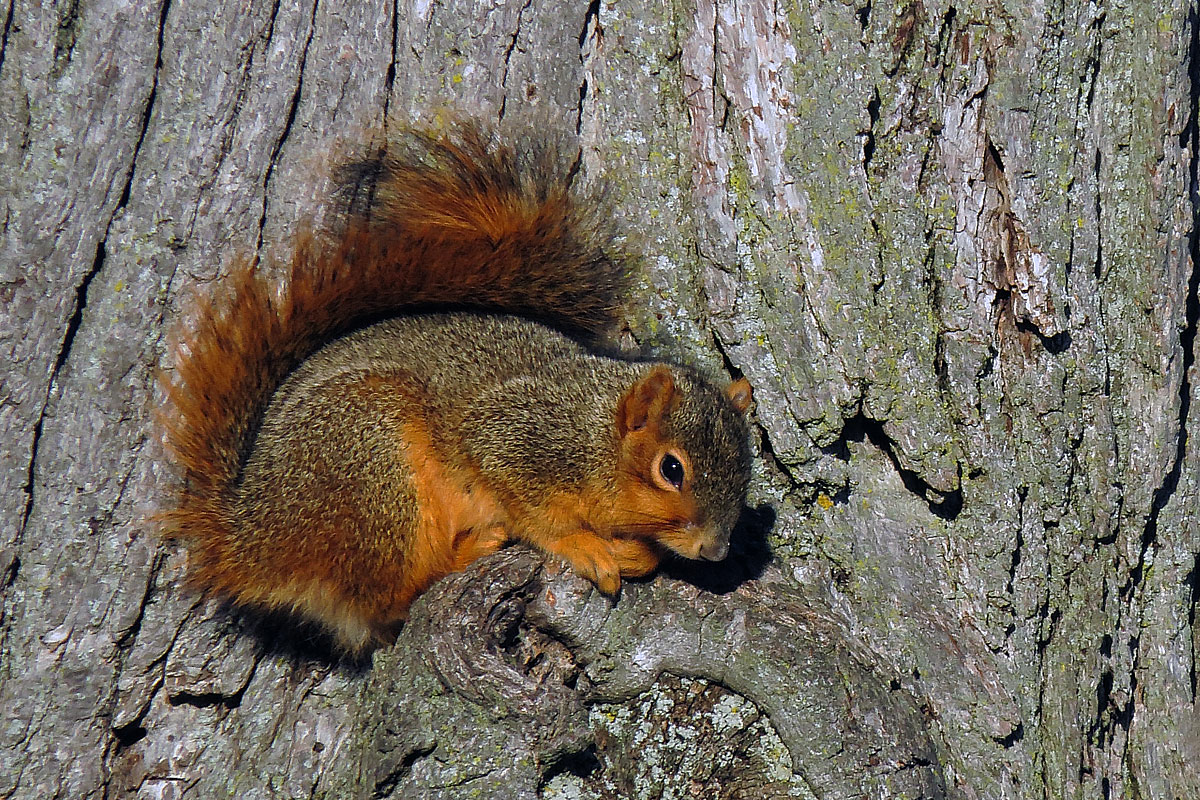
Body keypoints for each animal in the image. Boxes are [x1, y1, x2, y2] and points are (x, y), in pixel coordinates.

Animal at [159, 123, 753, 652]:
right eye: (670, 469)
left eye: (747, 469)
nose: (717, 550)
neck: (597, 432)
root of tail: (248, 534)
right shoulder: (516, 432)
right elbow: (533, 509)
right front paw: (583, 546)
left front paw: (635, 553)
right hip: (371, 468)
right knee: (386, 599)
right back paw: (467, 552)